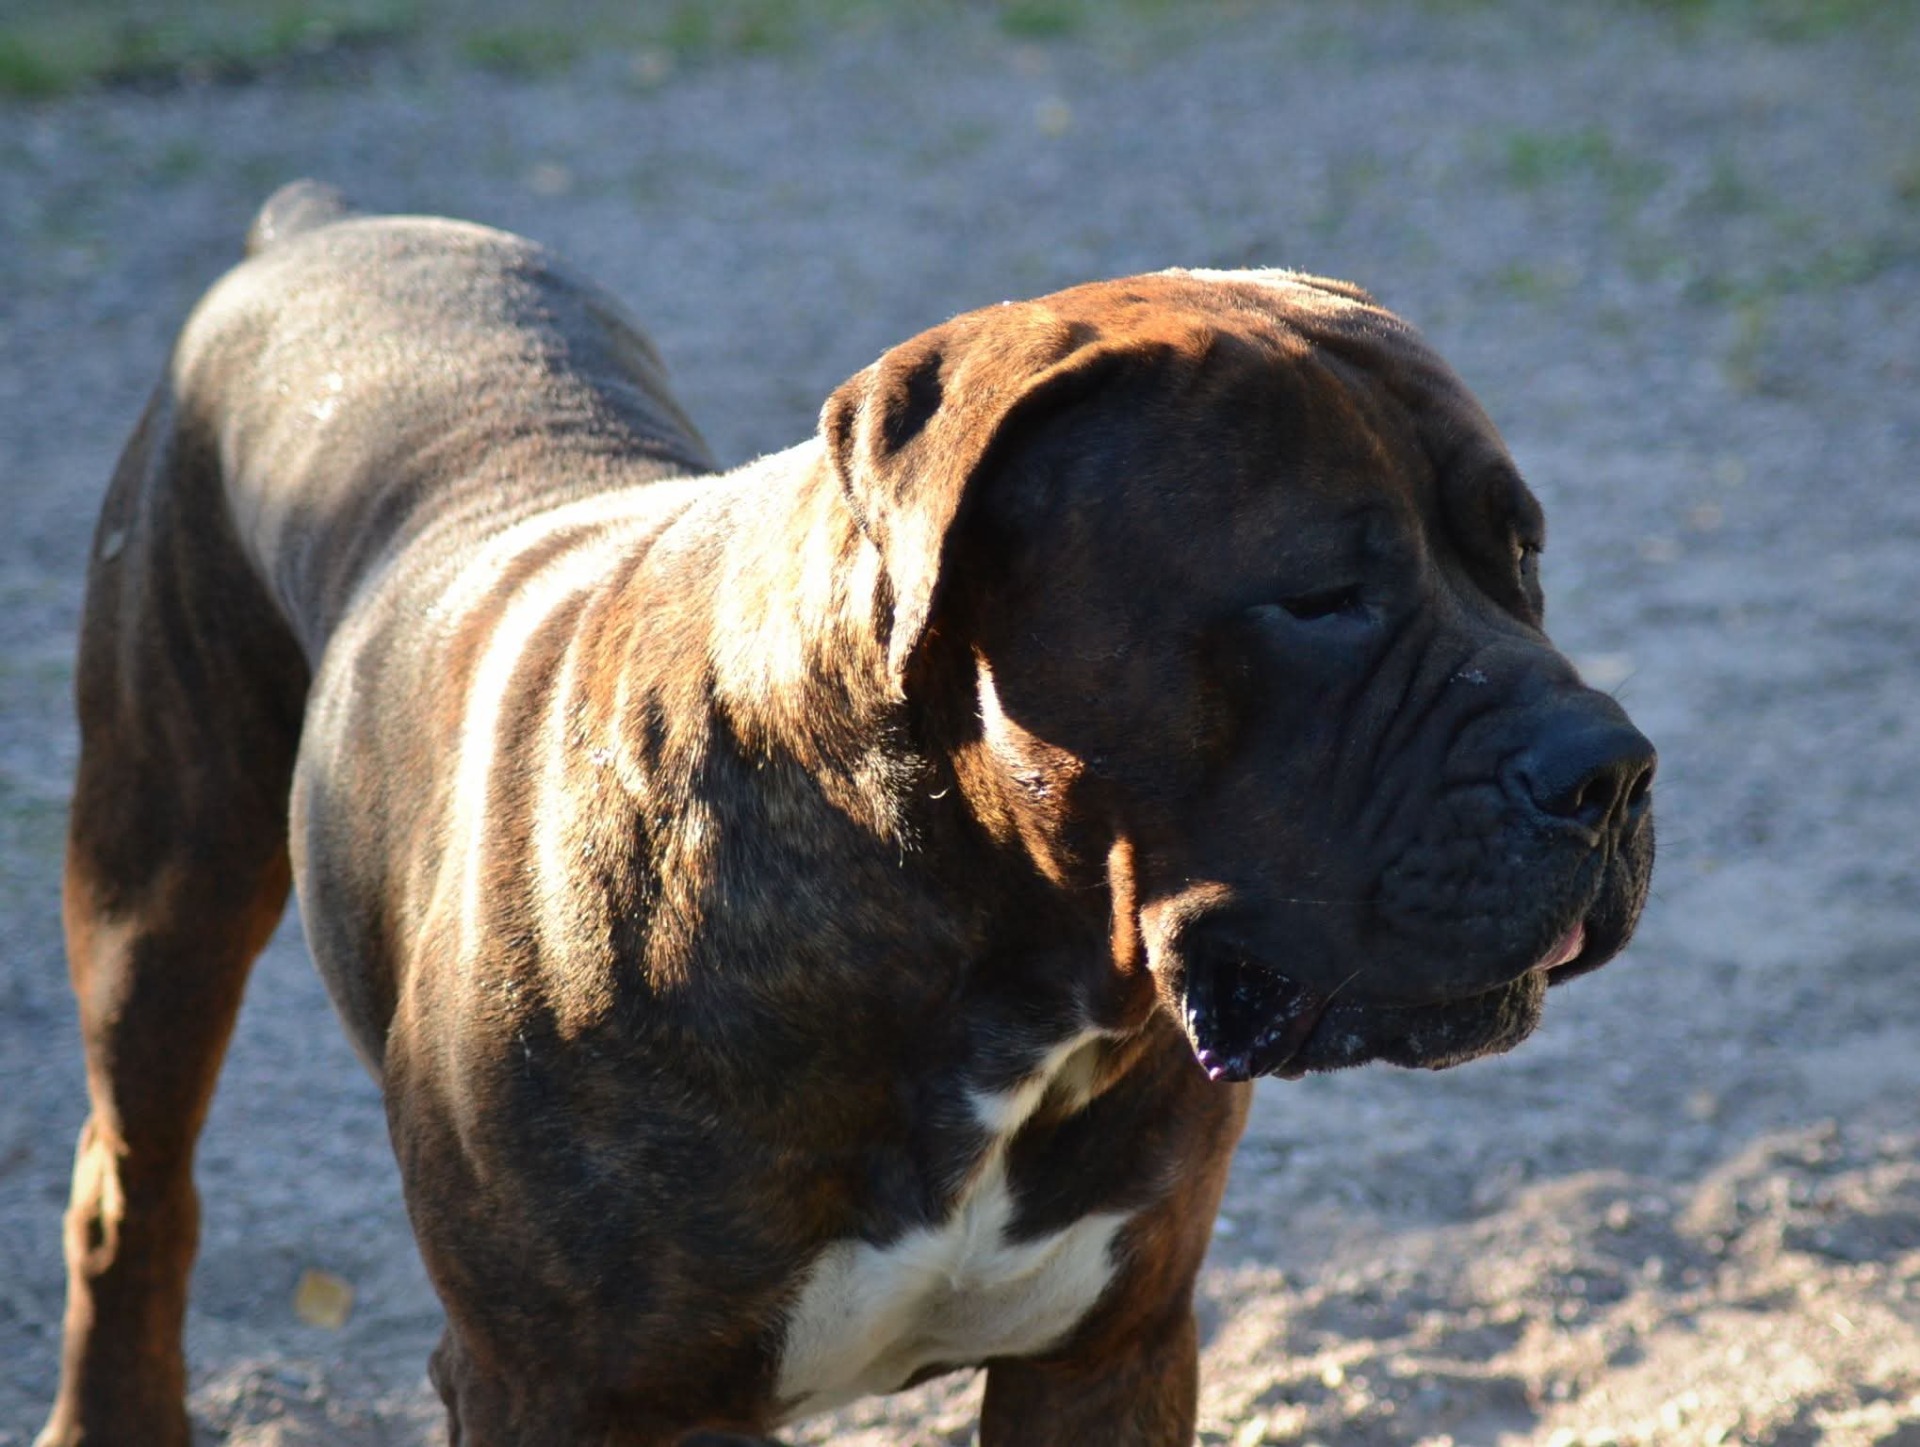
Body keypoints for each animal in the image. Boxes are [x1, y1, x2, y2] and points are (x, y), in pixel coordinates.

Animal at [39, 181, 1654, 1446]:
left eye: (1522, 555)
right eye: (1319, 596)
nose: (1613, 766)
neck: (988, 957)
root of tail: (314, 228)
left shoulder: (1110, 1348)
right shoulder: (556, 1388)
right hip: (160, 886)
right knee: (132, 1194)